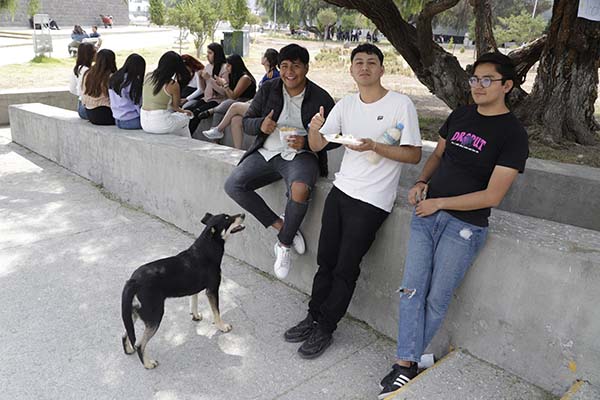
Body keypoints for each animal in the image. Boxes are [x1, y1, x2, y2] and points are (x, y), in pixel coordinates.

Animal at [120, 212, 245, 368]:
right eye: (227, 218)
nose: (244, 214)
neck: (206, 248)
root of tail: (133, 281)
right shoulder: (212, 290)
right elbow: (216, 312)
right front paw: (222, 326)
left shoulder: (195, 288)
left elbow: (194, 301)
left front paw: (195, 316)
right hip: (155, 315)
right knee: (139, 344)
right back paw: (148, 364)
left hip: (135, 313)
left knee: (125, 334)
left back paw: (128, 350)